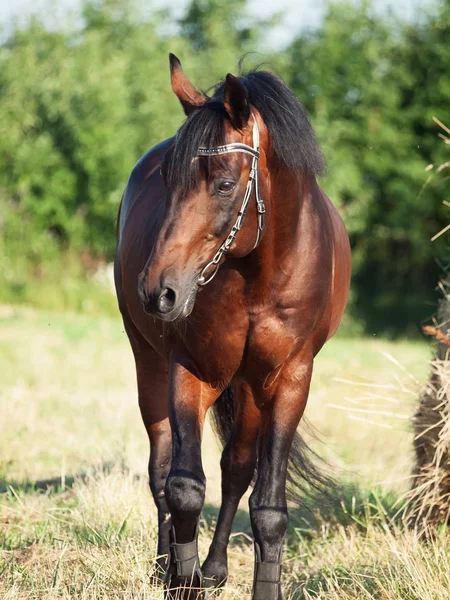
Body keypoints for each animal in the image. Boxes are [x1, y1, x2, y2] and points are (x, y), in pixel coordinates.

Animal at [115, 54, 352, 596]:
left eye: (224, 184)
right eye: (168, 181)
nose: (157, 290)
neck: (259, 277)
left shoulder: (289, 380)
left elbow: (268, 507)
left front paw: (251, 583)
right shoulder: (190, 369)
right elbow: (183, 486)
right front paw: (182, 581)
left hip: (248, 387)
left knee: (237, 468)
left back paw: (217, 568)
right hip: (149, 362)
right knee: (162, 467)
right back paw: (167, 565)